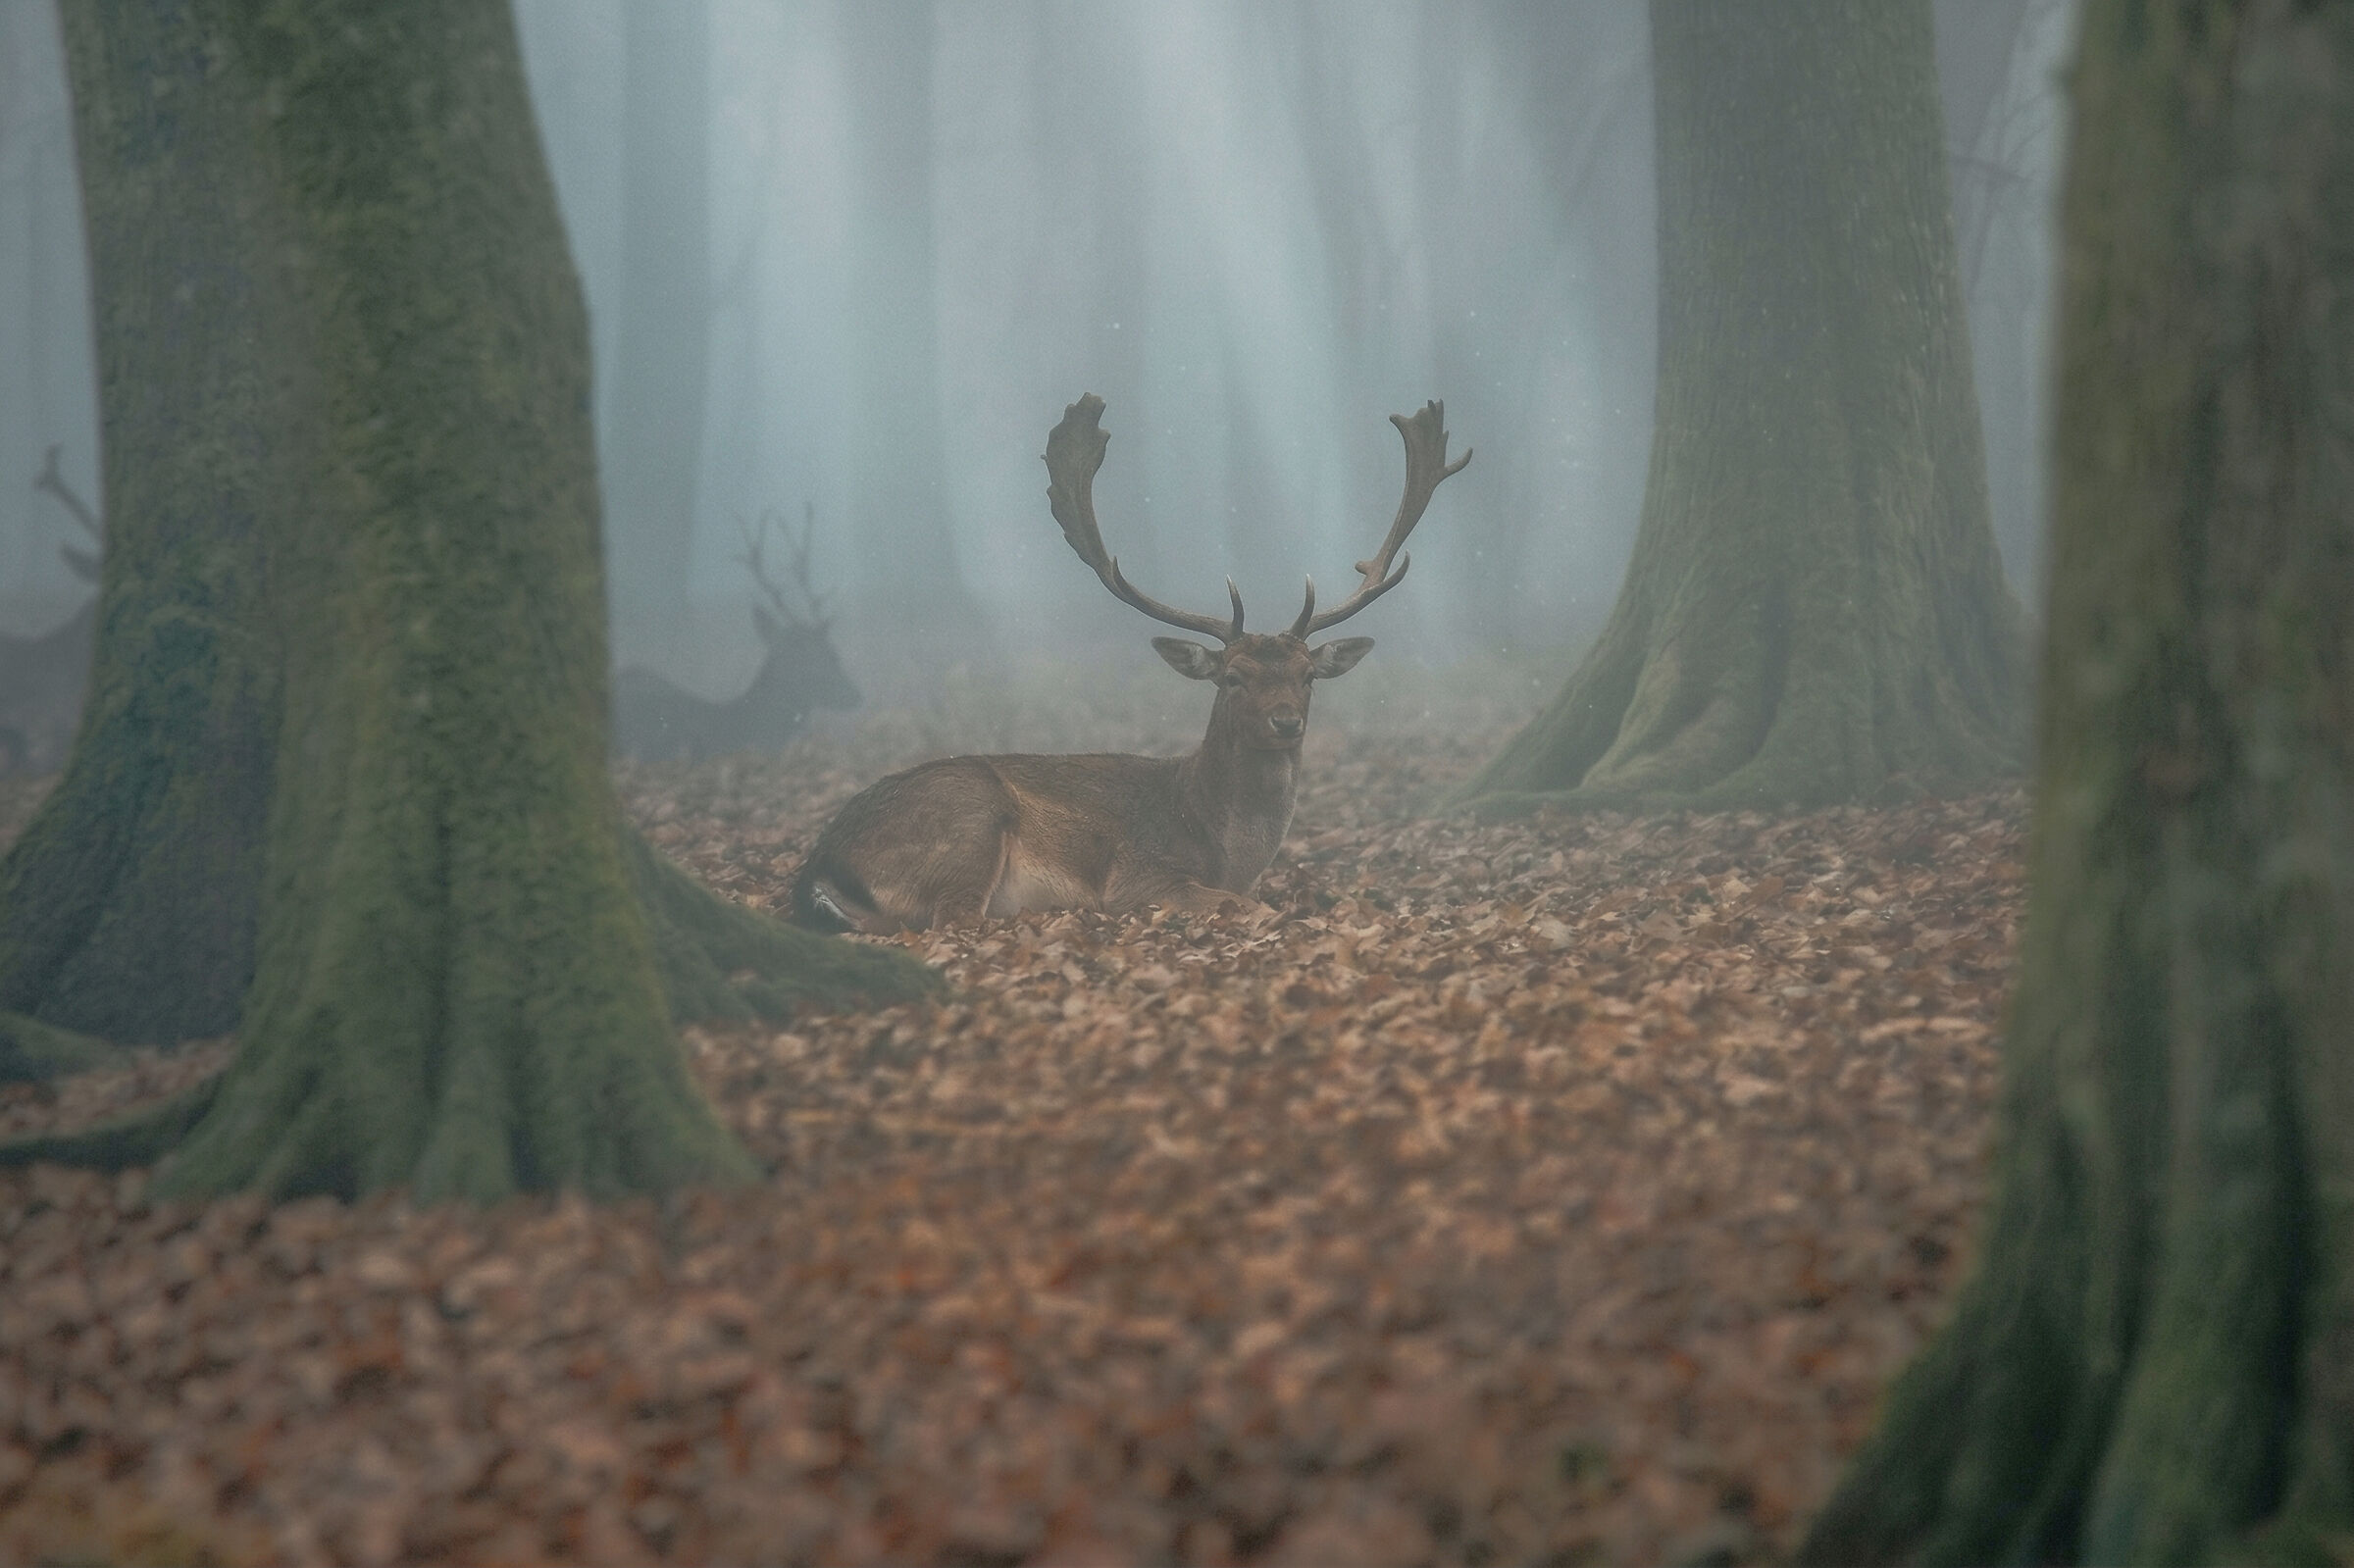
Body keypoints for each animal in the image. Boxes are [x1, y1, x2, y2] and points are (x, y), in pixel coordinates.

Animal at [789, 393, 1468, 933]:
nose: (1285, 722)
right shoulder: (1141, 875)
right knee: (954, 916)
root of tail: (819, 862)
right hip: (968, 819)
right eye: (1233, 678)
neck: (1223, 848)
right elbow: (1249, 906)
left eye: (1306, 676)